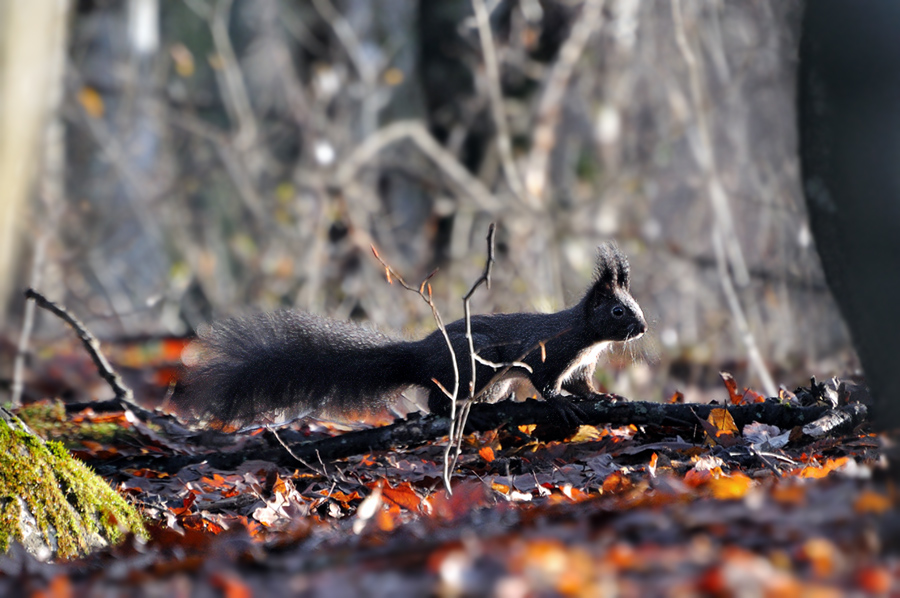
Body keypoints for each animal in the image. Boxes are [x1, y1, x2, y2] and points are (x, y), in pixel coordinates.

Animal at [181, 241, 648, 428]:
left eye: (636, 307)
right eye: (618, 310)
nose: (643, 328)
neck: (586, 336)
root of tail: (419, 354)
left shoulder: (581, 365)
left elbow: (584, 384)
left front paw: (604, 396)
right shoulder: (549, 353)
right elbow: (546, 383)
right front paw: (563, 404)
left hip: (489, 381)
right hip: (473, 363)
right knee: (437, 400)